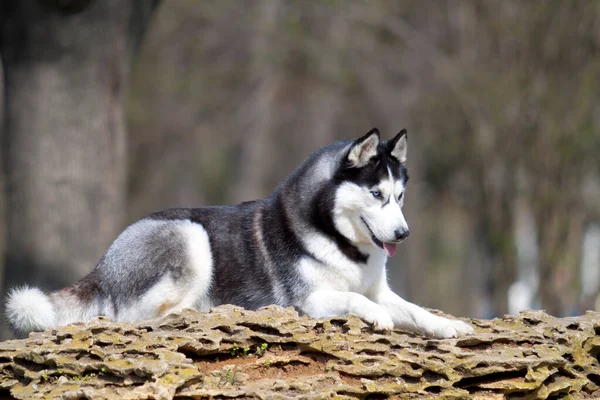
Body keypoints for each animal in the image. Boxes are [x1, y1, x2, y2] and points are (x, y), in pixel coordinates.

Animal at [5, 128, 474, 338]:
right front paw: (376, 316)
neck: (341, 242)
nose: (403, 233)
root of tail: (104, 262)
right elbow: (356, 300)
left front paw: (448, 326)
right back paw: (203, 312)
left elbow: (413, 309)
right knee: (143, 317)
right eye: (376, 194)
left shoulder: (381, 288)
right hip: (192, 237)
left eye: (400, 196)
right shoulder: (310, 300)